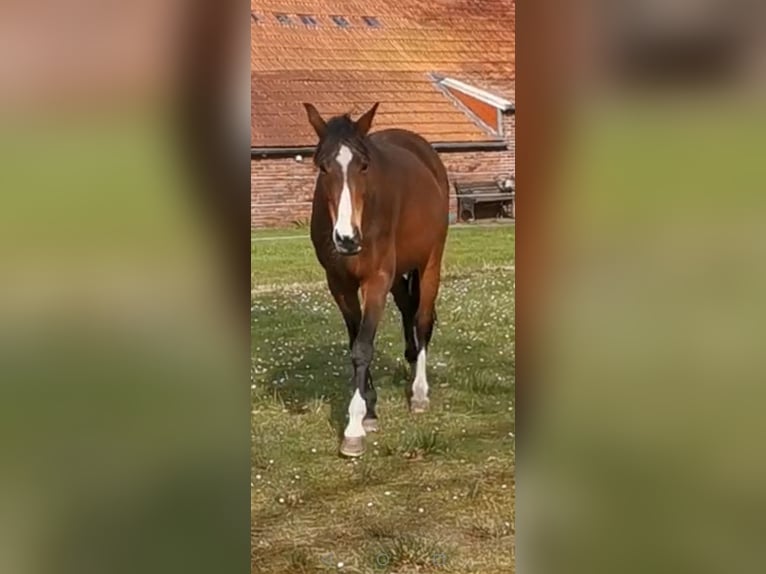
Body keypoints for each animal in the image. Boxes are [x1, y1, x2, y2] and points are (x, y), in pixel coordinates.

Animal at [302, 102, 450, 457]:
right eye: (322, 167)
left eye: (364, 165)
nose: (346, 239)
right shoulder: (339, 284)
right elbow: (355, 341)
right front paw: (369, 412)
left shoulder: (377, 279)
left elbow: (363, 347)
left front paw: (354, 429)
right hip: (398, 276)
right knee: (408, 310)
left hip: (430, 262)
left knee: (422, 319)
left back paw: (419, 392)